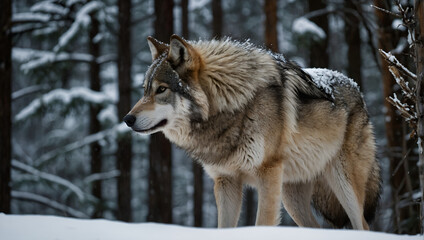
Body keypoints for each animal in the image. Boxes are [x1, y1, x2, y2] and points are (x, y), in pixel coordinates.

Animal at [123, 34, 380, 230]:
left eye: (161, 89)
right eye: (145, 90)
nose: (127, 119)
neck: (232, 109)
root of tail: (356, 87)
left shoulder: (267, 173)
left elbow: (262, 223)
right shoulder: (226, 181)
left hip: (343, 184)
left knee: (363, 225)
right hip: (291, 197)